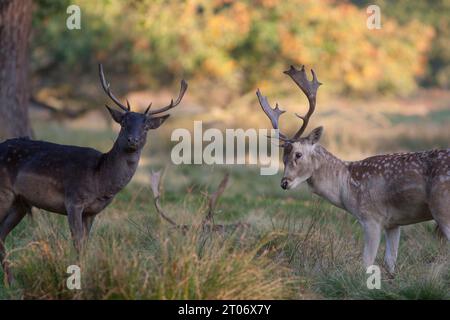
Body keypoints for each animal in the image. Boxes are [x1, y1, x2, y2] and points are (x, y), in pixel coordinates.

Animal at [0, 64, 188, 282]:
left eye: (146, 127)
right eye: (123, 123)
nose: (132, 140)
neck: (100, 180)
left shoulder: (92, 212)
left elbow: (85, 245)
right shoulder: (73, 201)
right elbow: (77, 243)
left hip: (20, 202)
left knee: (1, 234)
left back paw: (11, 281)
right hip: (4, 193)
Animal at [256, 65, 450, 276]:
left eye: (298, 154)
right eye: (283, 157)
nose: (284, 183)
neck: (346, 186)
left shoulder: (371, 217)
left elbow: (367, 261)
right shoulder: (393, 223)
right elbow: (390, 262)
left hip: (442, 207)